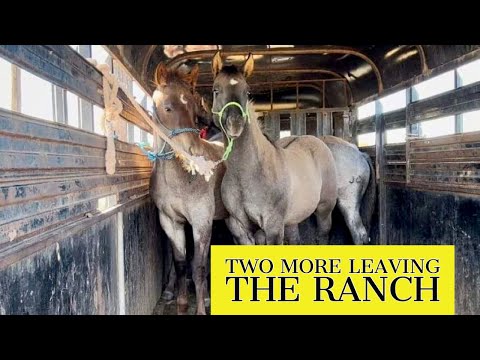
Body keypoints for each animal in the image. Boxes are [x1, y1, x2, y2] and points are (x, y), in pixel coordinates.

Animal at [210, 52, 338, 245]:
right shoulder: (242, 229)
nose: (235, 124)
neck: (248, 174)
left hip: (324, 209)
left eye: (247, 92)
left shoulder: (273, 228)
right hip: (292, 219)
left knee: (323, 234)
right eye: (216, 90)